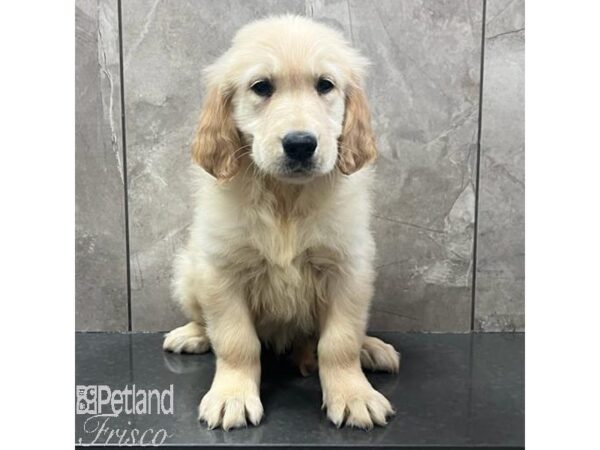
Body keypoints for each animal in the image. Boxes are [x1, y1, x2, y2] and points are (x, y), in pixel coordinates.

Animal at [162, 14, 400, 428]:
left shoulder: (347, 268)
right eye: (262, 87)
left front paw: (353, 394)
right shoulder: (222, 270)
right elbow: (236, 341)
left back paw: (371, 348)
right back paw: (192, 335)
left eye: (325, 85)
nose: (301, 144)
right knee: (204, 321)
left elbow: (340, 341)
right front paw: (232, 396)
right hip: (189, 272)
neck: (286, 199)